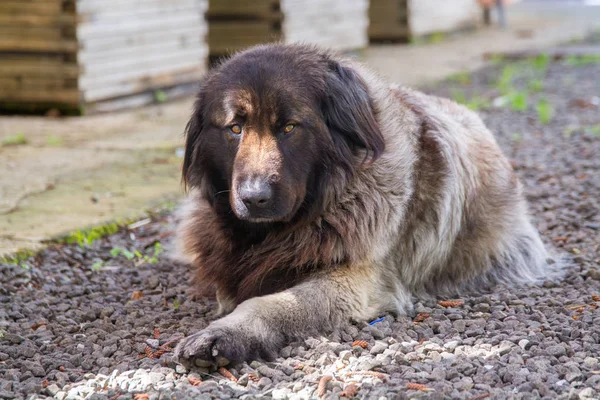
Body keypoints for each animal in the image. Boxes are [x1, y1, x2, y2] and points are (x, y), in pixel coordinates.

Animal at [171, 43, 556, 366]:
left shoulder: (357, 281)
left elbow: (270, 303)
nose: (255, 197)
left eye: (290, 127)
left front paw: (227, 334)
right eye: (235, 129)